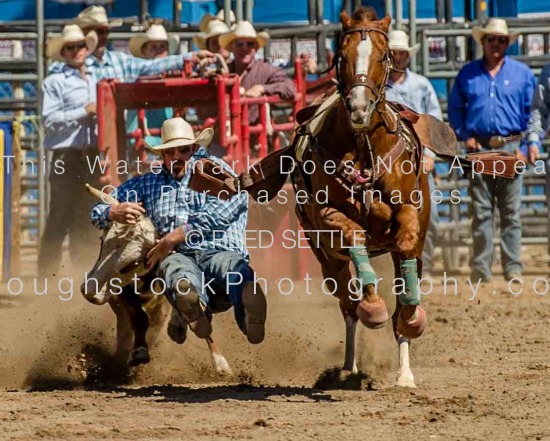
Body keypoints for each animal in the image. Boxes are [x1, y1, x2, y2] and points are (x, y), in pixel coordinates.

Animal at [294, 7, 432, 384]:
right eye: (341, 56)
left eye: (384, 56)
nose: (358, 108)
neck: (363, 148)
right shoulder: (327, 217)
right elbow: (354, 236)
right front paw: (374, 306)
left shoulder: (408, 213)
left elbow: (406, 246)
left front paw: (411, 318)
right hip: (327, 259)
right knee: (348, 305)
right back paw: (348, 366)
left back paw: (404, 373)